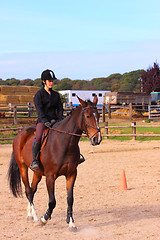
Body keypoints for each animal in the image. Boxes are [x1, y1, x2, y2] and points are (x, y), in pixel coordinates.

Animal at [7, 94, 101, 230]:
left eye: (98, 115)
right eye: (88, 116)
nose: (97, 139)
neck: (64, 143)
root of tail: (20, 134)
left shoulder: (71, 174)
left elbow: (70, 199)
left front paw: (71, 222)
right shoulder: (50, 176)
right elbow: (52, 201)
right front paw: (44, 218)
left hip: (37, 173)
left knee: (32, 189)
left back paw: (30, 214)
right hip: (22, 167)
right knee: (28, 191)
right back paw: (36, 217)